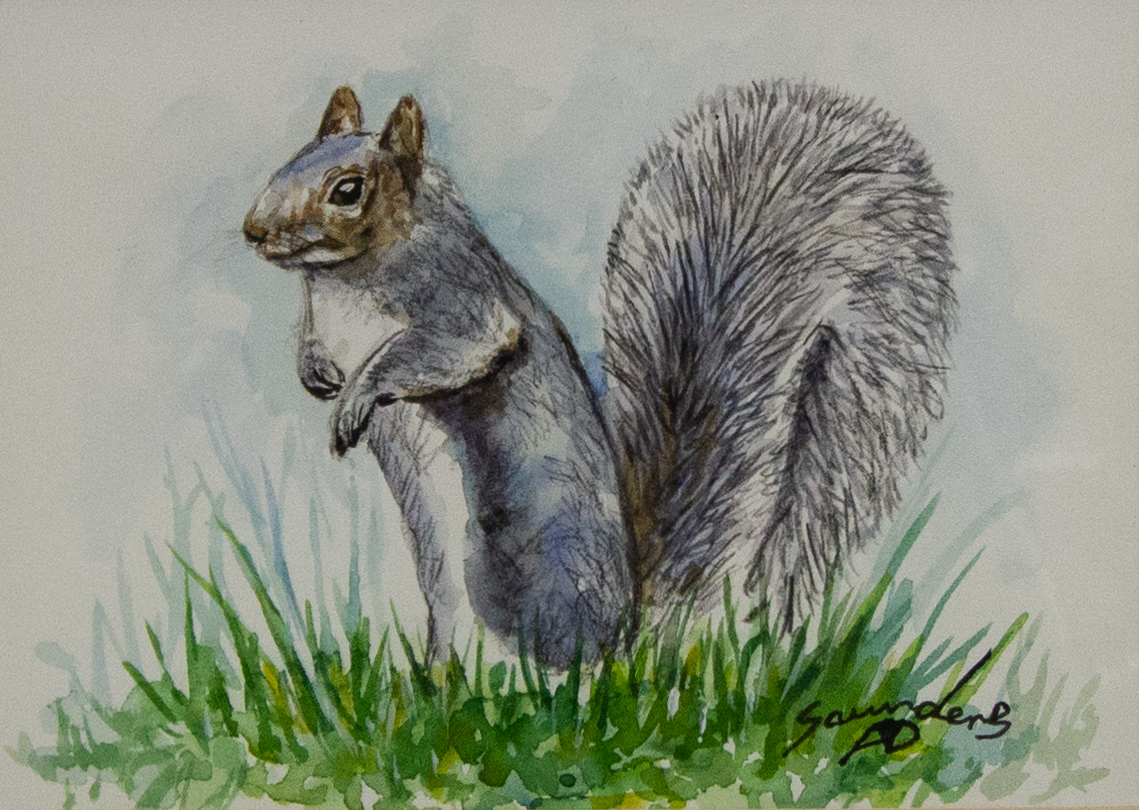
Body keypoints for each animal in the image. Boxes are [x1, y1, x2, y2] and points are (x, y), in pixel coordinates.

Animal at [243, 81, 955, 669]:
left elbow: (447, 348)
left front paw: (357, 396)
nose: (253, 231)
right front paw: (316, 376)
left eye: (347, 190)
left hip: (523, 577)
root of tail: (629, 641)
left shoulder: (463, 302)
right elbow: (317, 350)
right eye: (287, 162)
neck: (341, 283)